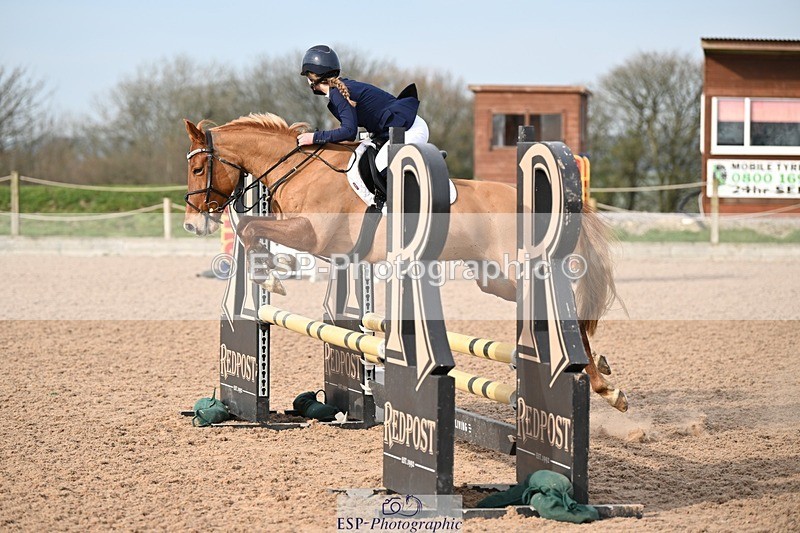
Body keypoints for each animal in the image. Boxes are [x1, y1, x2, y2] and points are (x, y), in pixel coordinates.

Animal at [182, 112, 628, 412]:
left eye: (199, 167)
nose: (191, 223)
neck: (300, 168)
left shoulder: (312, 234)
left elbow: (249, 228)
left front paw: (270, 281)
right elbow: (251, 229)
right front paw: (268, 276)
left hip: (517, 272)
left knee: (564, 308)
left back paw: (604, 386)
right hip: (496, 278)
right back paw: (594, 370)